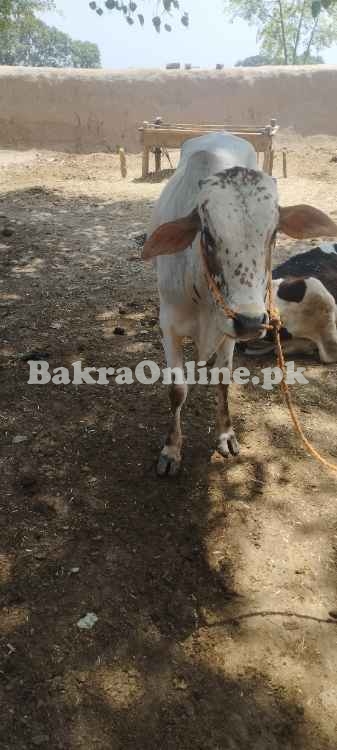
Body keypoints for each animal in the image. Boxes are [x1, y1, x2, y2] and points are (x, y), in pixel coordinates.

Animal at [142, 134, 336, 476]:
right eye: (207, 234)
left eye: (274, 235)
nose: (251, 322)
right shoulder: (169, 326)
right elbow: (177, 389)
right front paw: (171, 450)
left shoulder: (229, 332)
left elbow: (222, 380)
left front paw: (226, 435)